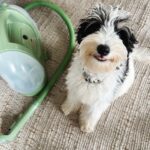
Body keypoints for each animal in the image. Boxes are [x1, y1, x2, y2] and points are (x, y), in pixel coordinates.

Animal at [61, 3, 150, 132]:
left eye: (120, 34)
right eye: (95, 27)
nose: (103, 49)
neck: (95, 71)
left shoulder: (100, 100)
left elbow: (92, 112)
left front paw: (87, 125)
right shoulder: (74, 86)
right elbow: (73, 97)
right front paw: (68, 107)